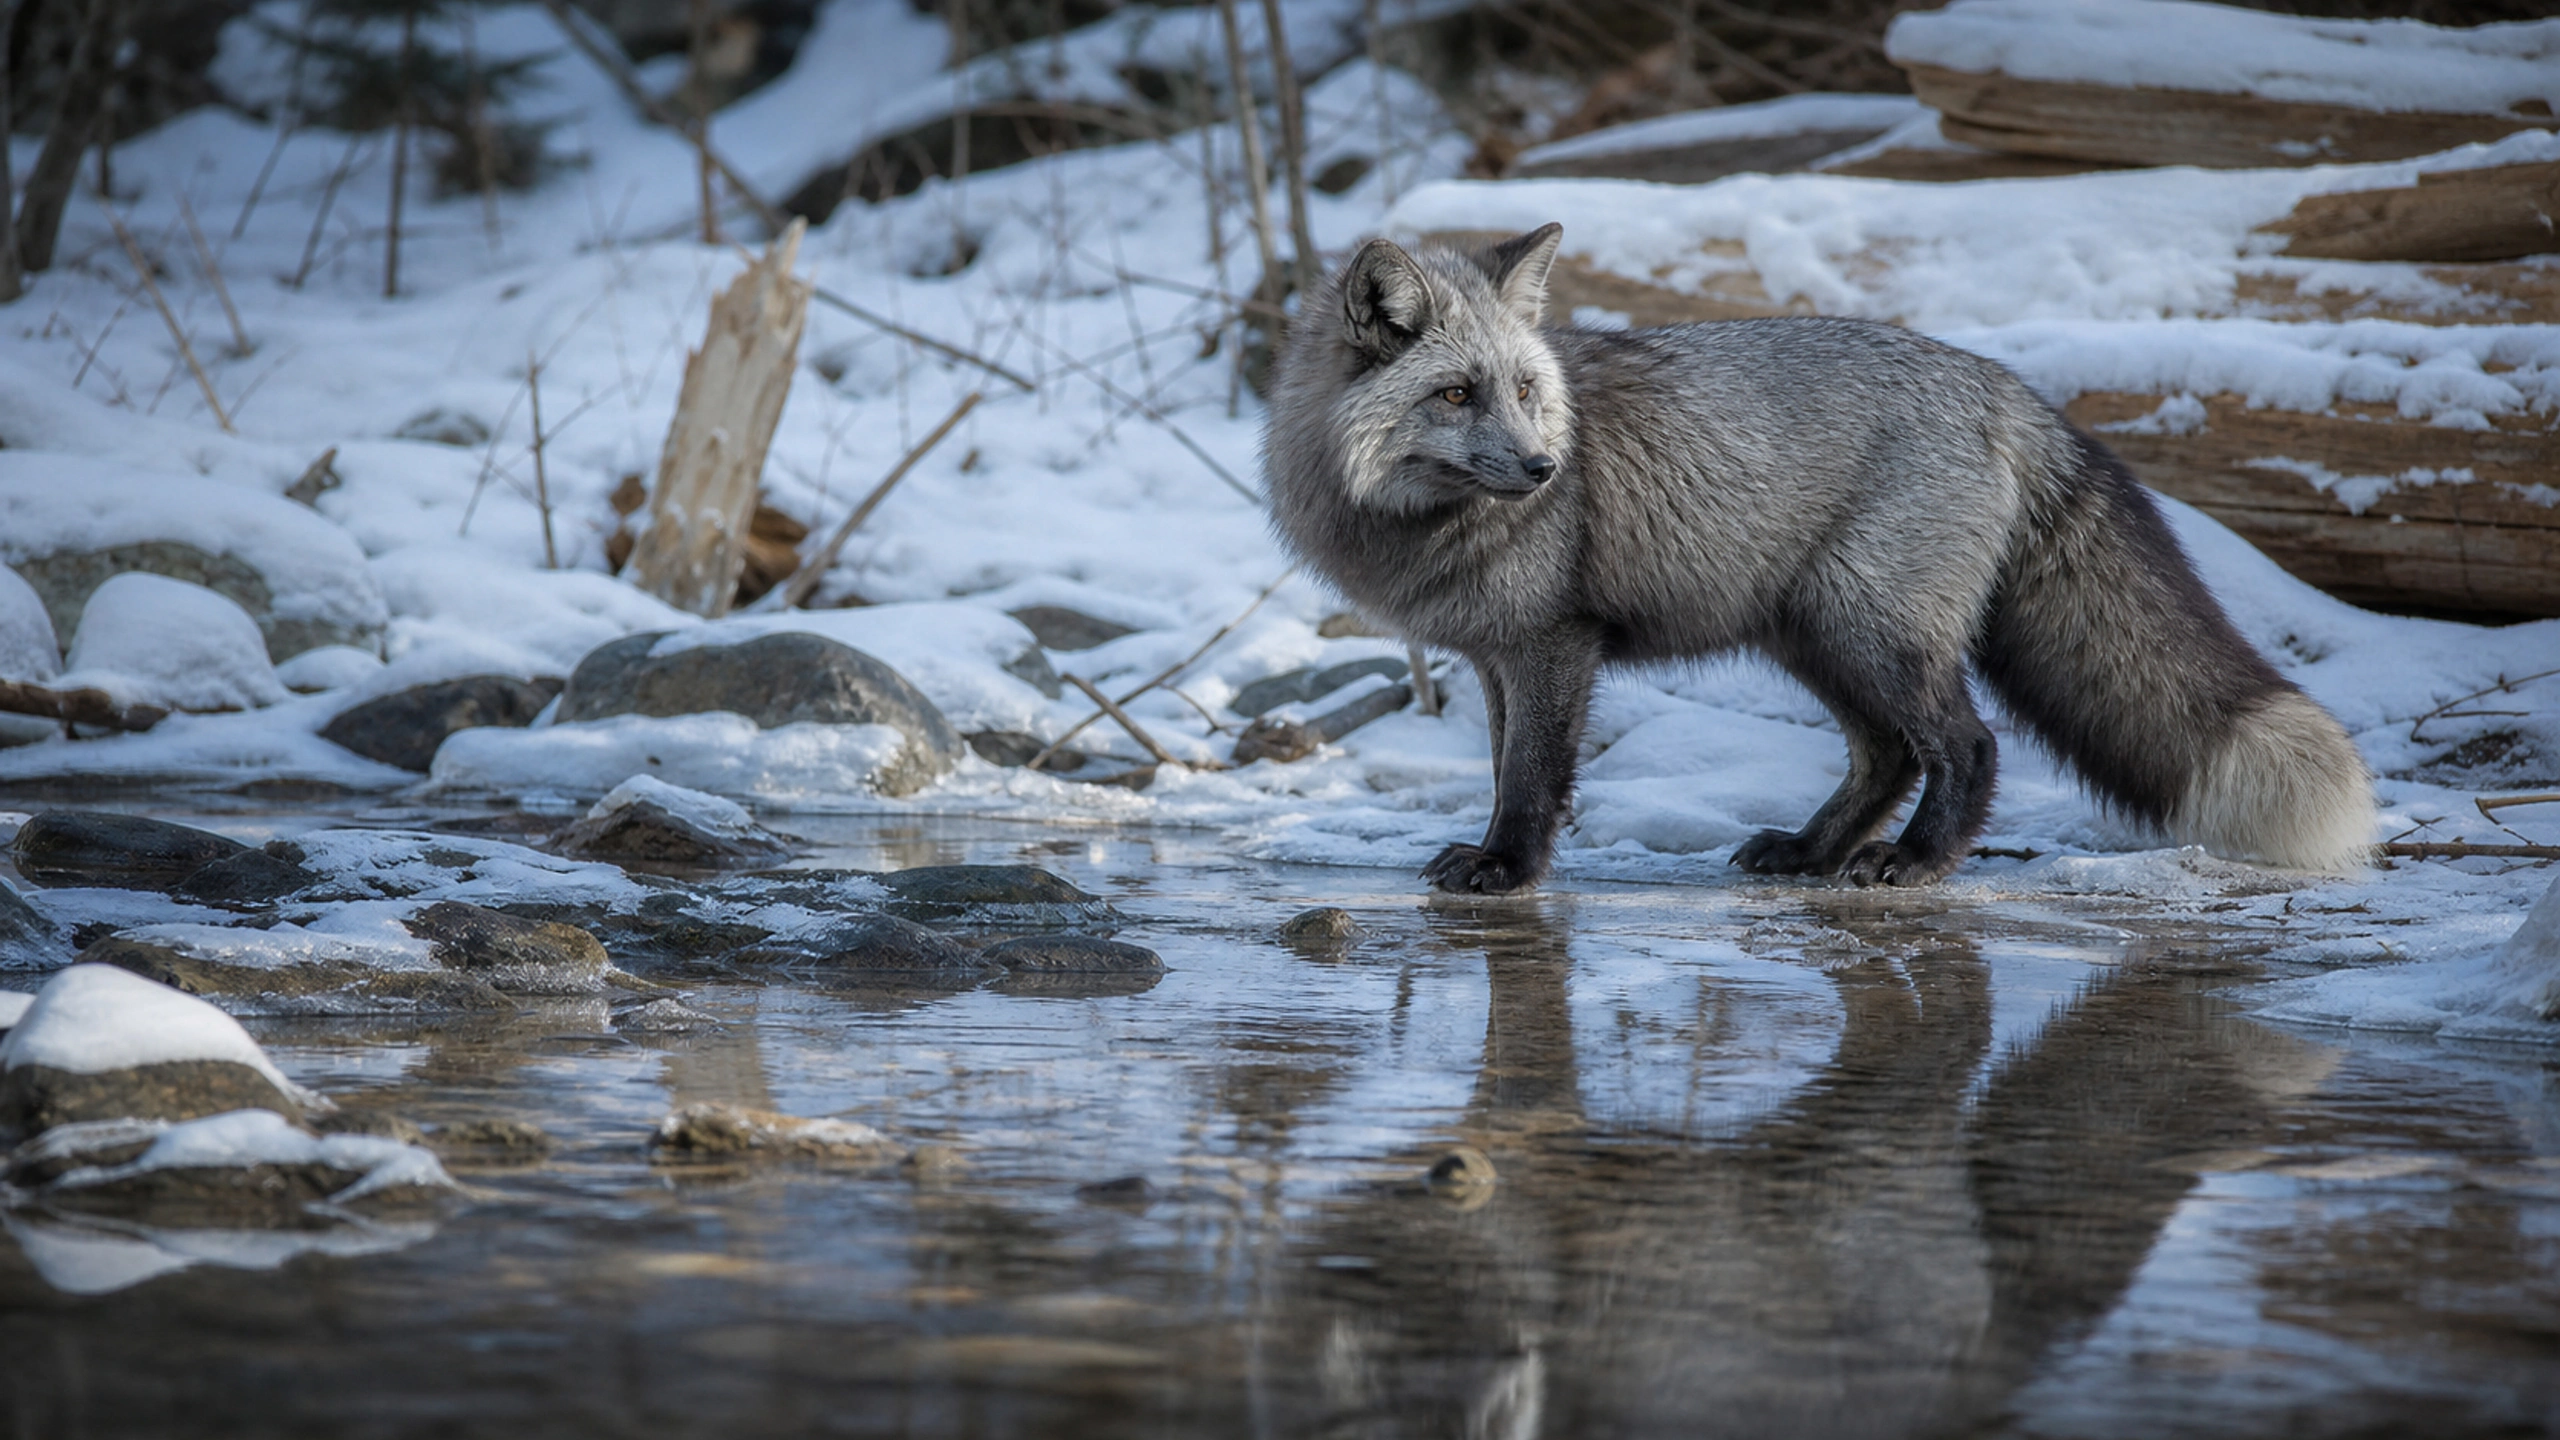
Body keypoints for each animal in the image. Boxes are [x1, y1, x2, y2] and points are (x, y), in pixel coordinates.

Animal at [1262, 223, 2374, 894]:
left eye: (1528, 390)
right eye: (1457, 394)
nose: (1544, 468)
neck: (1408, 519)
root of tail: (2006, 387)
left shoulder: (1550, 647)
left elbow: (1531, 779)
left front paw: (1506, 870)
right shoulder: (1498, 657)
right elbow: (1505, 768)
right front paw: (1504, 859)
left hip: (1867, 628)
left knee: (1968, 745)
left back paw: (1914, 862)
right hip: (1810, 636)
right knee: (1886, 755)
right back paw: (1810, 851)